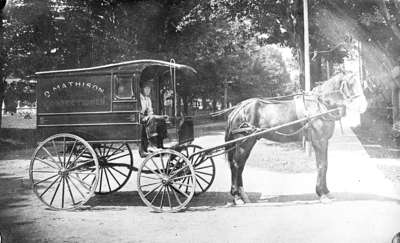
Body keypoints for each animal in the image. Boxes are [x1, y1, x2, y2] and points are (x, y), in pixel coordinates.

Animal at [223, 72, 368, 205]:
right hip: (244, 144)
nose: (364, 105)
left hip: (247, 143)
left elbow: (325, 165)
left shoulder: (324, 141)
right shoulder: (319, 141)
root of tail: (237, 109)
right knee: (236, 165)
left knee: (240, 165)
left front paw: (326, 192)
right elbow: (321, 165)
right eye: (350, 84)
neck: (320, 105)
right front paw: (322, 194)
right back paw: (237, 197)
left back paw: (243, 196)